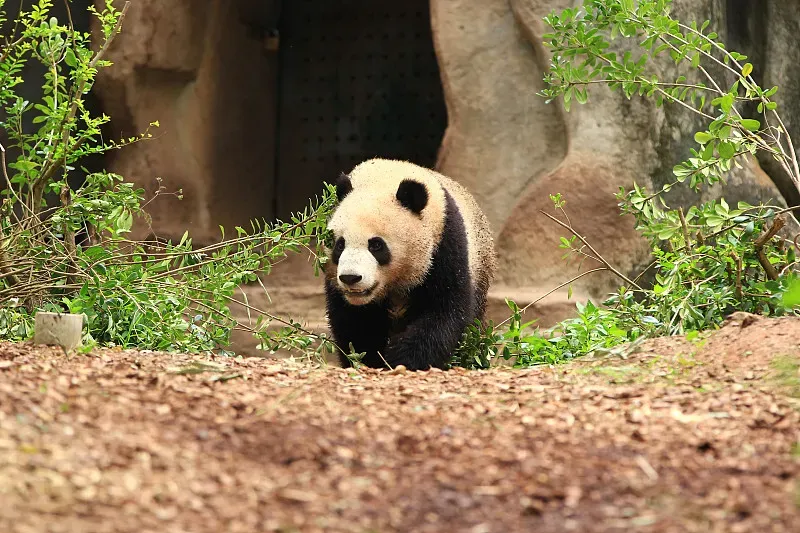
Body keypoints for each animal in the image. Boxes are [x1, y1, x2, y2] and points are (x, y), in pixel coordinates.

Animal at [323, 158, 497, 371]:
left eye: (376, 245)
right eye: (340, 245)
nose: (350, 278)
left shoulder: (444, 245)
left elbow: (444, 311)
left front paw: (401, 360)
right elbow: (355, 325)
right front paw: (369, 360)